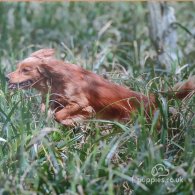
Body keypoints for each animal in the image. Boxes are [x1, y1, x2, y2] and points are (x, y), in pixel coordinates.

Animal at [6, 48, 195, 125]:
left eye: (25, 70)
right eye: (18, 67)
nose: (6, 77)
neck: (55, 80)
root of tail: (151, 97)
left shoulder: (79, 101)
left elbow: (60, 115)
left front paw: (71, 121)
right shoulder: (55, 100)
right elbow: (50, 110)